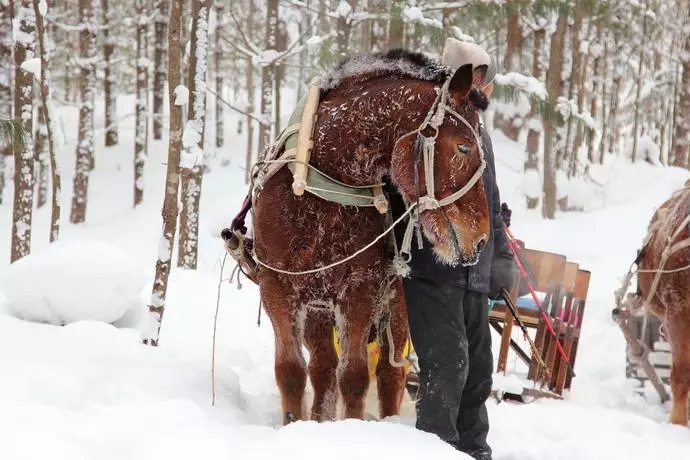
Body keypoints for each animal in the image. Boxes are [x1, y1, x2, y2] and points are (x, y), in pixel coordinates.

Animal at [247, 49, 490, 424]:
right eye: (464, 148)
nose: (481, 237)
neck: (325, 186)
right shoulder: (278, 285)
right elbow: (291, 370)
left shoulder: (361, 288)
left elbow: (355, 375)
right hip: (318, 303)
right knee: (322, 366)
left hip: (397, 304)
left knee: (390, 374)